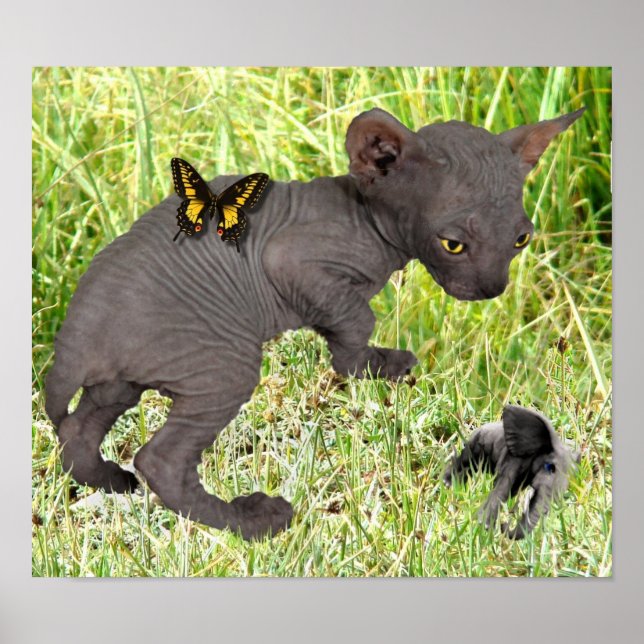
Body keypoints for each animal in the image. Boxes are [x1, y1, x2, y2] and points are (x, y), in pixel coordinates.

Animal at [443, 405, 580, 539]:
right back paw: (448, 484)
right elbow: (503, 487)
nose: (504, 525)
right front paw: (484, 526)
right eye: (549, 467)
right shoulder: (515, 461)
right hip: (476, 443)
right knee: (466, 461)